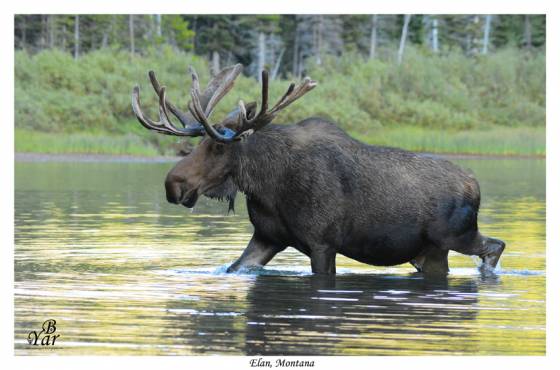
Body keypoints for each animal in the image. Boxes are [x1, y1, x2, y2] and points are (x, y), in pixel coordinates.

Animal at [132, 63, 508, 274]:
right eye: (198, 143)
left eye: (219, 145)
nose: (173, 184)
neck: (266, 186)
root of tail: (475, 186)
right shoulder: (267, 237)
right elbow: (232, 268)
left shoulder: (323, 243)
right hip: (429, 253)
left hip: (456, 235)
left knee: (495, 246)